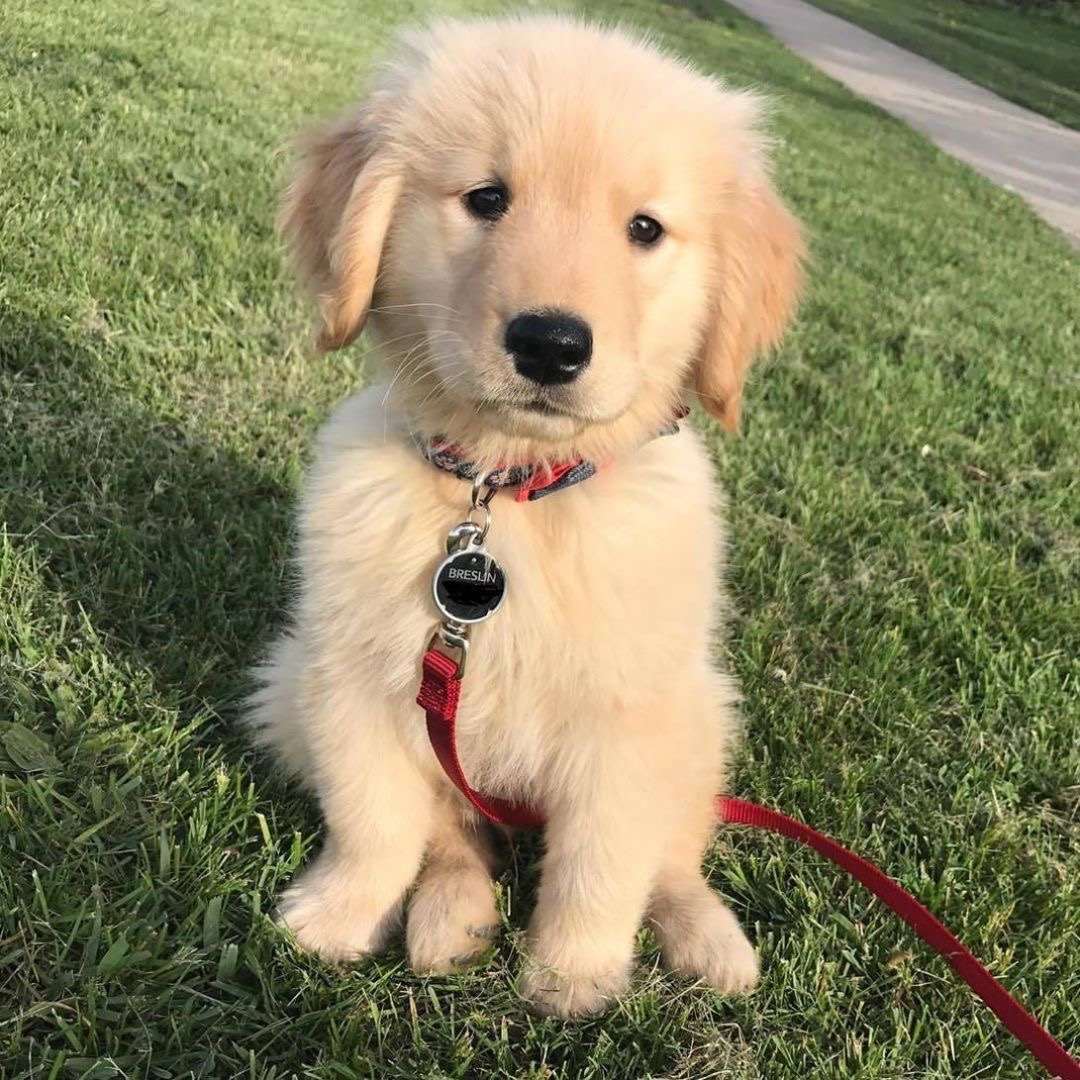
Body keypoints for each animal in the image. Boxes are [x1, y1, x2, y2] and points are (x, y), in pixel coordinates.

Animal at [247, 12, 803, 1015]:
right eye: (487, 197)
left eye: (645, 228)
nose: (550, 343)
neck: (506, 496)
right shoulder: (349, 680)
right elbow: (376, 823)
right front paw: (338, 915)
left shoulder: (628, 720)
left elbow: (600, 865)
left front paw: (573, 976)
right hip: (286, 685)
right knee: (454, 837)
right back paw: (451, 917)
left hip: (702, 712)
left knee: (674, 854)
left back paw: (706, 937)